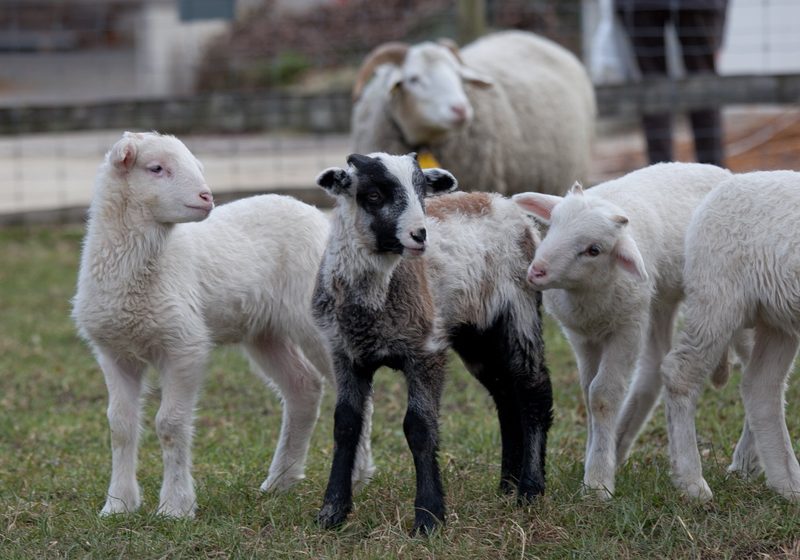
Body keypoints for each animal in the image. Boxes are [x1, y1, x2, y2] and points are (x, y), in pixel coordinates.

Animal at [71, 131, 375, 518]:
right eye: (156, 168)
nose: (207, 197)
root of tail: (311, 211)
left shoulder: (184, 345)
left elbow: (170, 424)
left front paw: (175, 507)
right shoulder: (114, 352)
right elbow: (120, 426)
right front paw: (118, 505)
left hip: (319, 320)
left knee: (355, 393)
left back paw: (357, 475)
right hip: (265, 331)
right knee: (302, 387)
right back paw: (281, 480)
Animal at [312, 152, 552, 534]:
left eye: (422, 191)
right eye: (373, 195)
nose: (420, 234)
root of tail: (502, 201)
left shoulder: (426, 351)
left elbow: (419, 427)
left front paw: (428, 517)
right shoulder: (345, 353)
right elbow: (345, 424)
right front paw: (332, 511)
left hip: (520, 311)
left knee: (533, 390)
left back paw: (530, 489)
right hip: (476, 333)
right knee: (505, 396)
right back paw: (507, 484)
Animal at [512, 162, 735, 499]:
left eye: (594, 250)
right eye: (553, 224)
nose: (537, 271)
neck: (587, 296)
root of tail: (721, 170)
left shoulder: (627, 328)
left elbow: (603, 395)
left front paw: (598, 482)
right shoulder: (583, 337)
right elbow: (588, 391)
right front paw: (595, 457)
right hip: (658, 299)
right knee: (654, 367)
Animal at [661, 170, 800, 502]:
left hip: (777, 315)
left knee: (761, 387)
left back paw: (788, 485)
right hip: (717, 296)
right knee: (680, 374)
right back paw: (692, 483)